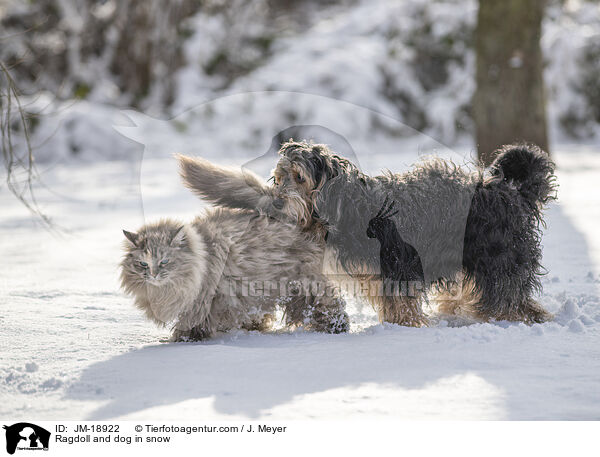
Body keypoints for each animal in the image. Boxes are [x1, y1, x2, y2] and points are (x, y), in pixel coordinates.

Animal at [178, 142, 556, 324]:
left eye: (299, 177)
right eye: (280, 177)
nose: (276, 202)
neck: (344, 204)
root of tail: (510, 190)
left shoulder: (398, 263)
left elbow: (401, 304)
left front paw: (406, 327)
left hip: (497, 256)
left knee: (510, 295)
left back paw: (513, 317)